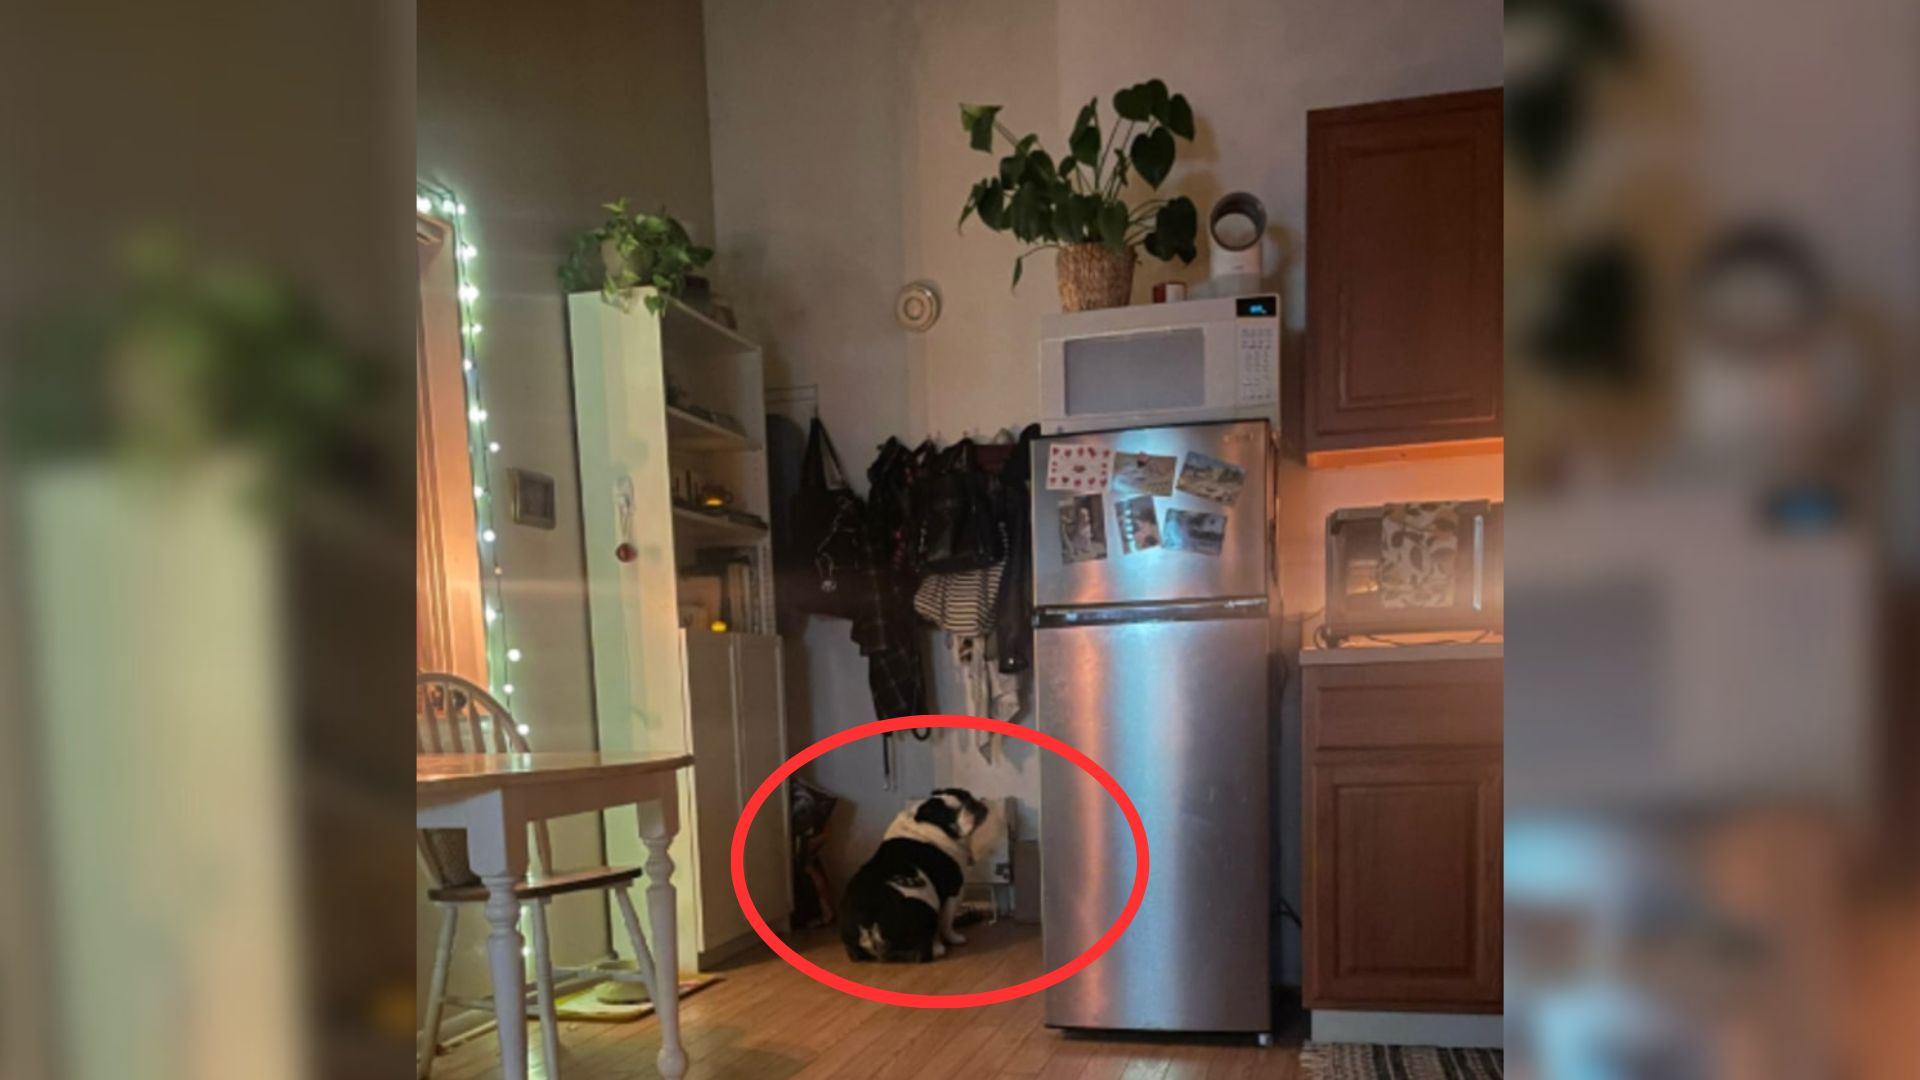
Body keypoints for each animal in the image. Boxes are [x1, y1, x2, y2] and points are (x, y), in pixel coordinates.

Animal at [837, 780, 998, 957]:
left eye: (967, 795)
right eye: (953, 813)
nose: (972, 802)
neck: (929, 824)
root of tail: (867, 923)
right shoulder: (953, 892)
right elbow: (947, 922)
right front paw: (955, 938)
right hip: (927, 905)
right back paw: (938, 947)